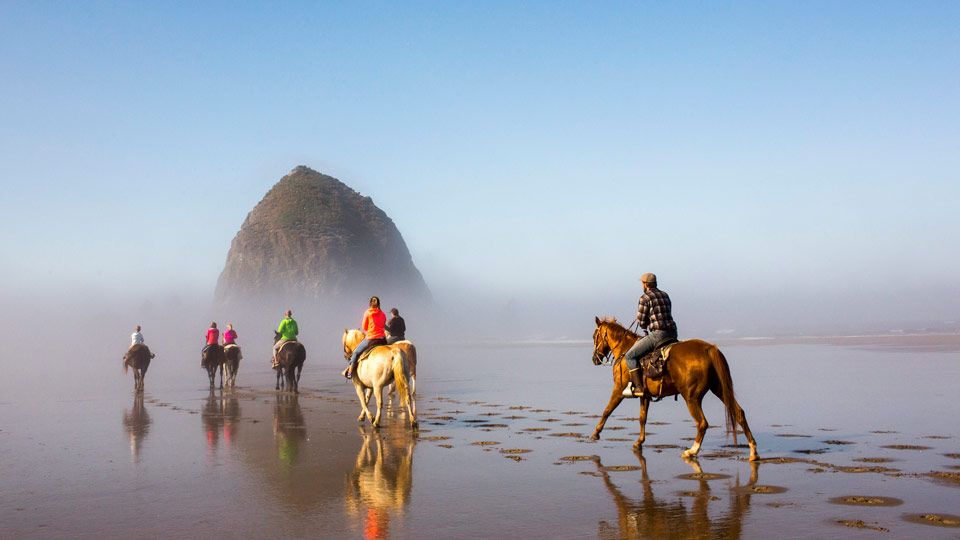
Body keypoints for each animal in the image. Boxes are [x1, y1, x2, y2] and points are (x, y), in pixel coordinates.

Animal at [588, 316, 760, 460]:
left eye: (595, 336)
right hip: (720, 389)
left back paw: (692, 451)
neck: (625, 350)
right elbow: (642, 418)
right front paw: (639, 442)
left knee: (702, 423)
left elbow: (607, 410)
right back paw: (753, 452)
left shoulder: (619, 389)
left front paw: (595, 434)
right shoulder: (645, 395)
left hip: (691, 397)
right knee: (739, 413)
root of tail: (709, 349)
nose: (595, 359)